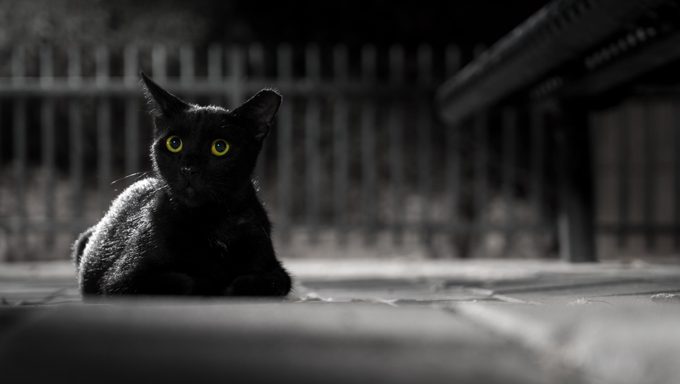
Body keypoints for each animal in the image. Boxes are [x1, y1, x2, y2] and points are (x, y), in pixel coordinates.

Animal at [73, 74, 290, 296]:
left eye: (220, 147)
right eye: (174, 143)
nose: (188, 168)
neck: (210, 220)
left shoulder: (276, 272)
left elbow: (246, 282)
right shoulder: (120, 280)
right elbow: (187, 281)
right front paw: (210, 281)